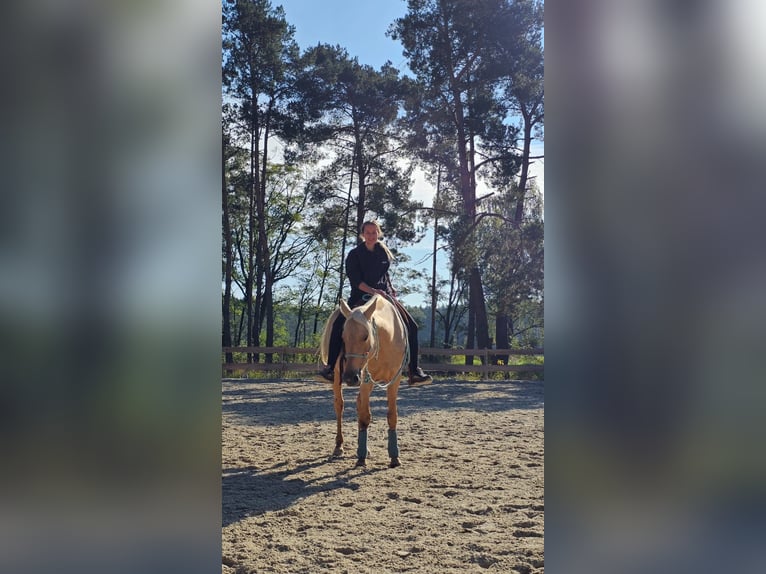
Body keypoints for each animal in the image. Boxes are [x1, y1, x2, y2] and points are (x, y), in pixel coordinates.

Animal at [319, 294, 409, 468]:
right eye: (342, 337)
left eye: (366, 336)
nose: (350, 377)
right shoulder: (366, 381)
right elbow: (365, 415)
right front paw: (361, 457)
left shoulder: (395, 380)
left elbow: (391, 415)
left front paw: (394, 456)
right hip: (338, 376)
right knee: (339, 406)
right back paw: (339, 446)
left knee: (358, 404)